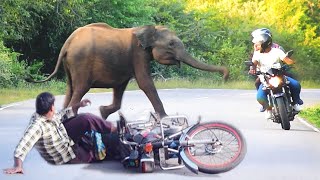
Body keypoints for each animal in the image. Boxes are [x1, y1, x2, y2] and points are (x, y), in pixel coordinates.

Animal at [26, 22, 229, 119]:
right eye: (171, 44)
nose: (225, 76)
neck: (148, 29)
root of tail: (67, 42)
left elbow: (121, 86)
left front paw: (102, 112)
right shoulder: (138, 54)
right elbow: (145, 82)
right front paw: (166, 118)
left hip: (71, 64)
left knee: (70, 88)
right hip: (80, 61)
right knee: (80, 89)